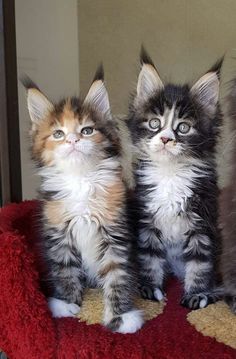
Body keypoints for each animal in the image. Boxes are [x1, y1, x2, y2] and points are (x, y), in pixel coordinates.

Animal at [22, 67, 143, 334]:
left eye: (87, 130)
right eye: (58, 134)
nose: (73, 140)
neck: (81, 180)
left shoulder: (114, 232)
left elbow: (116, 274)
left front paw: (120, 316)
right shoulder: (60, 234)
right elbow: (65, 271)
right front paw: (66, 304)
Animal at [127, 49, 221, 310]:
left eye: (183, 127)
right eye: (154, 123)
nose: (166, 139)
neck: (170, 174)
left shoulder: (203, 223)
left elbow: (200, 263)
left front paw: (197, 294)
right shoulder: (147, 220)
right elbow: (150, 257)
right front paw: (150, 288)